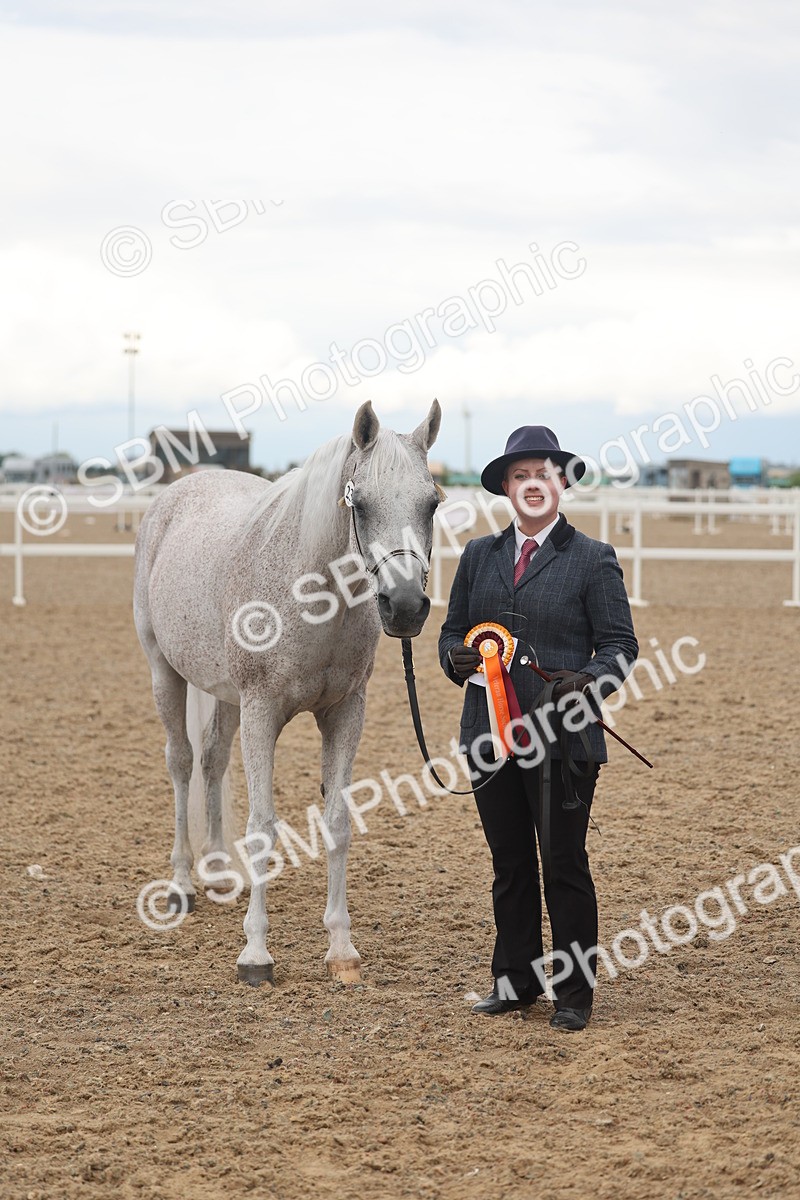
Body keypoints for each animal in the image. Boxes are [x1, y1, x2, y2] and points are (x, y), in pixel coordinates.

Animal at [133, 399, 441, 985]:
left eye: (432, 502)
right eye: (360, 504)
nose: (406, 606)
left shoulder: (345, 713)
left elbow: (338, 822)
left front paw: (341, 948)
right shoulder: (261, 712)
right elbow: (261, 828)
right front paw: (256, 955)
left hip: (224, 696)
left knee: (211, 759)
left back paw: (218, 871)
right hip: (164, 672)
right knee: (181, 763)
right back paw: (183, 883)